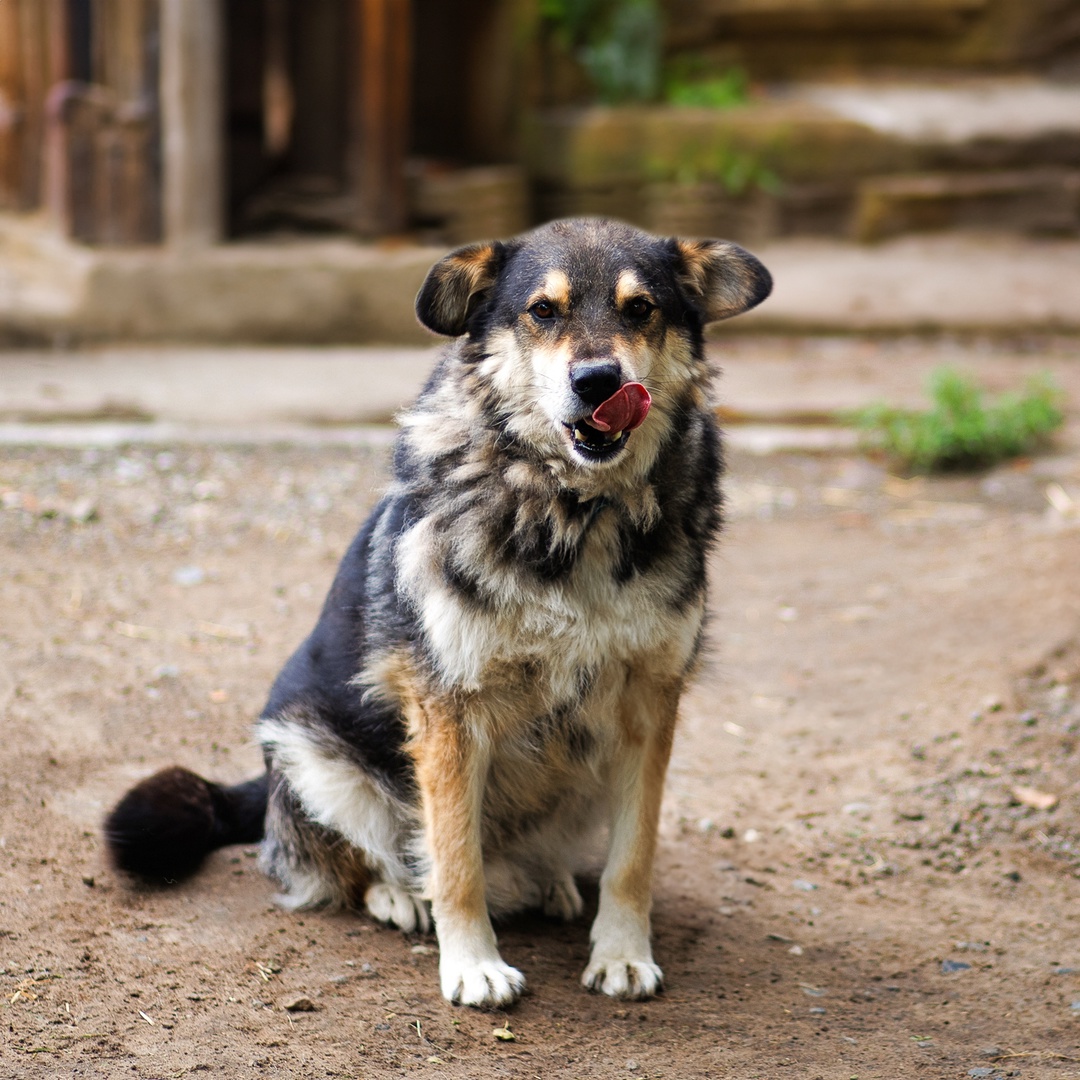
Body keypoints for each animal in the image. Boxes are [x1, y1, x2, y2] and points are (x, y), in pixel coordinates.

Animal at [105, 214, 773, 1006]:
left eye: (641, 309)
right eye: (542, 311)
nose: (599, 381)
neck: (573, 513)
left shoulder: (651, 702)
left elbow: (632, 858)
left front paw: (621, 953)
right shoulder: (450, 709)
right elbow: (455, 859)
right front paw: (473, 965)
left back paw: (548, 882)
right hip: (316, 758)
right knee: (350, 862)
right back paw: (399, 895)